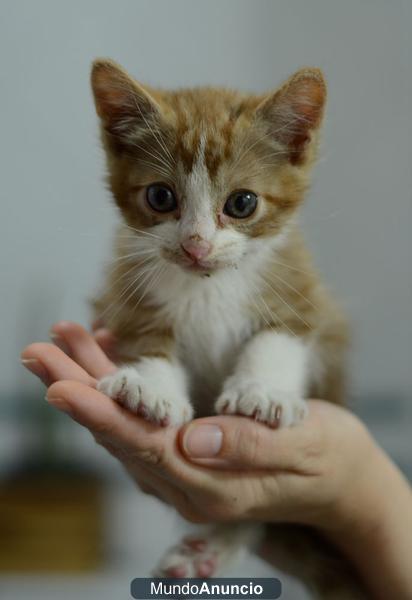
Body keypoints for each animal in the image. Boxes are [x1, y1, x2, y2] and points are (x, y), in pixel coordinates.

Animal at [89, 61, 360, 600]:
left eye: (242, 204)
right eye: (160, 196)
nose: (195, 245)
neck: (209, 284)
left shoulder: (302, 289)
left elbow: (280, 337)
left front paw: (262, 391)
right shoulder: (127, 289)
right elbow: (146, 337)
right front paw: (149, 388)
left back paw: (210, 547)